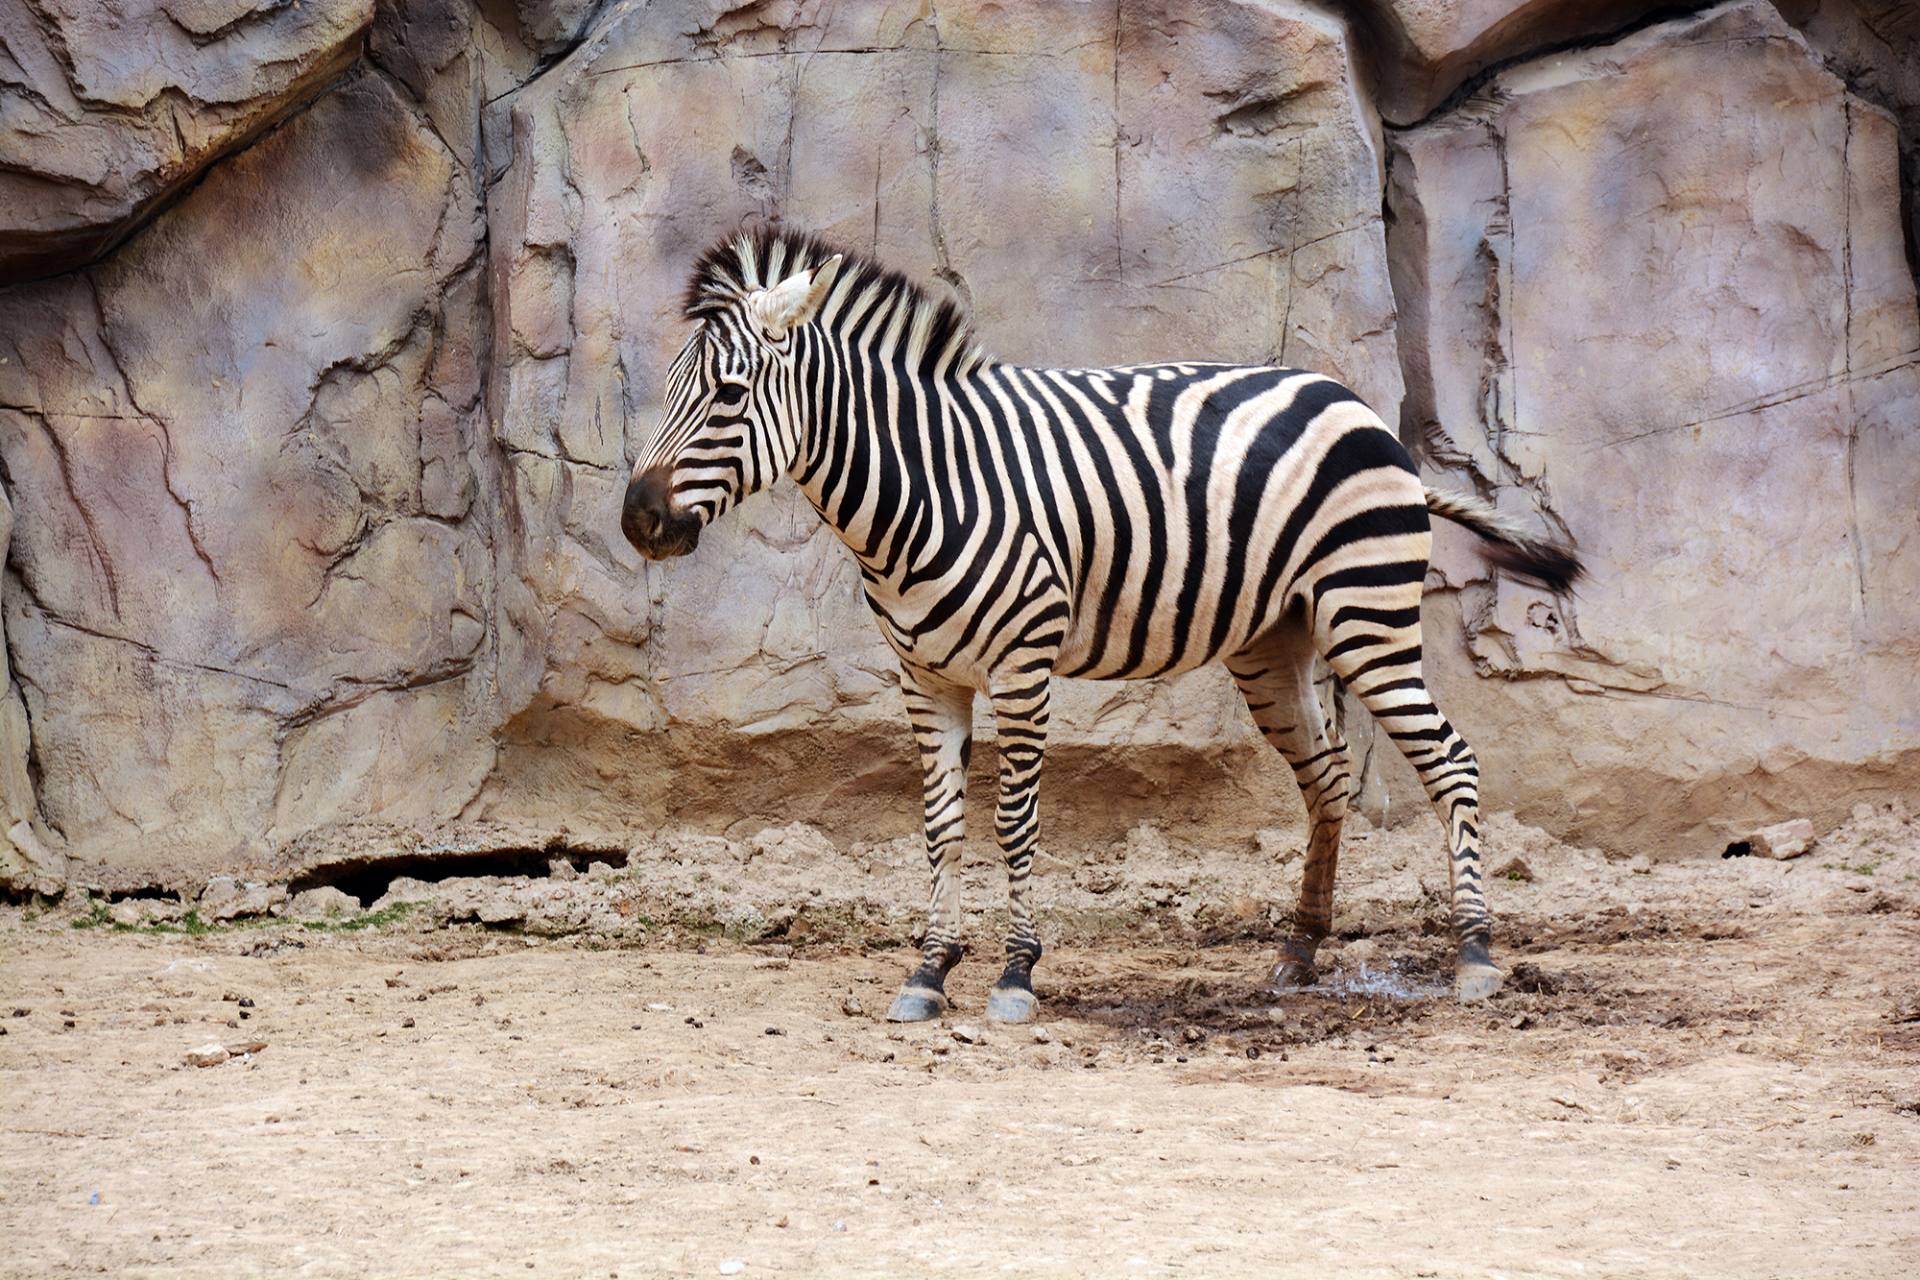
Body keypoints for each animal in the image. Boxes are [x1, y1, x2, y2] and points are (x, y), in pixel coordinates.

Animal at [622, 230, 1582, 1028]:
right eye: (668, 388)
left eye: (729, 393)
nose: (637, 520)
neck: (922, 485)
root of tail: (1358, 407)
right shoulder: (925, 676)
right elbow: (939, 824)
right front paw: (928, 972)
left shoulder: (1021, 664)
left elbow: (1013, 820)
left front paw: (1015, 975)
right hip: (1274, 644)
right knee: (1329, 780)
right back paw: (1301, 949)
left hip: (1367, 618)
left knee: (1452, 762)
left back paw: (1475, 956)